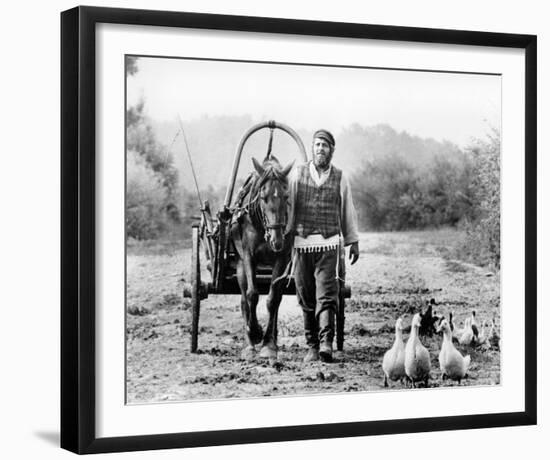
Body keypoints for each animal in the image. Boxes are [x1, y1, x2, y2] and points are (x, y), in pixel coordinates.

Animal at [231, 153, 296, 362]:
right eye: (263, 197)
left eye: (286, 197)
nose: (276, 240)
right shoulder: (248, 256)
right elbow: (252, 294)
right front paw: (254, 334)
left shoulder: (282, 258)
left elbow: (273, 299)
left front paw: (269, 344)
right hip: (240, 266)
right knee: (244, 299)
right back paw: (249, 341)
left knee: (276, 298)